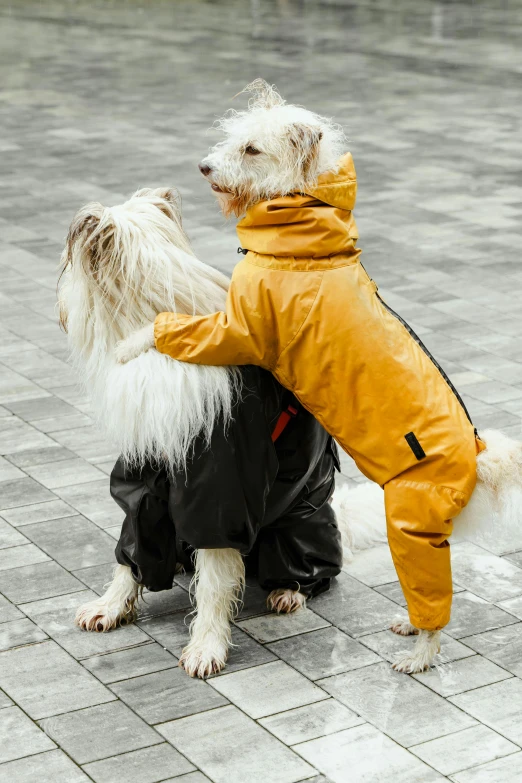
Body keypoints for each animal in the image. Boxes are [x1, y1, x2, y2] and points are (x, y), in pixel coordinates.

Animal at [62, 187, 386, 676]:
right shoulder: (148, 467)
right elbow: (133, 537)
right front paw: (113, 605)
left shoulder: (221, 485)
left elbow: (215, 574)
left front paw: (206, 645)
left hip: (302, 524)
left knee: (316, 574)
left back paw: (290, 589)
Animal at [119, 81, 522, 680]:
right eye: (232, 140)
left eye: (253, 150)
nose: (204, 167)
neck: (306, 234)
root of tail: (478, 458)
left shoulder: (239, 329)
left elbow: (180, 330)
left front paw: (132, 340)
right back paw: (408, 628)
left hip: (410, 525)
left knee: (434, 604)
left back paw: (418, 654)